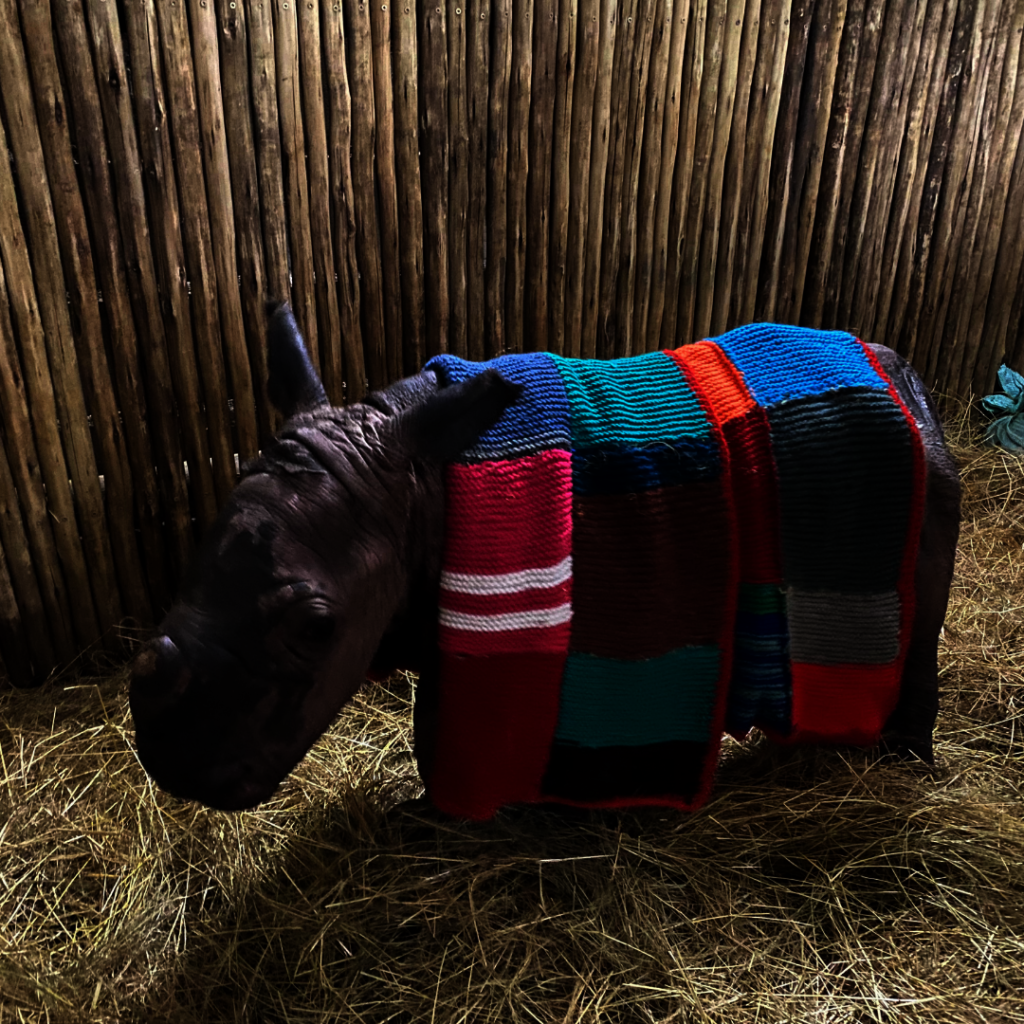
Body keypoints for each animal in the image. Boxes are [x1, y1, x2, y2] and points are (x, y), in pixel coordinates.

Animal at [130, 304, 960, 814]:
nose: (170, 758)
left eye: (315, 628)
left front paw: (423, 815)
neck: (416, 481)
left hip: (917, 476)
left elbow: (443, 746)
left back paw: (906, 762)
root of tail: (905, 377)